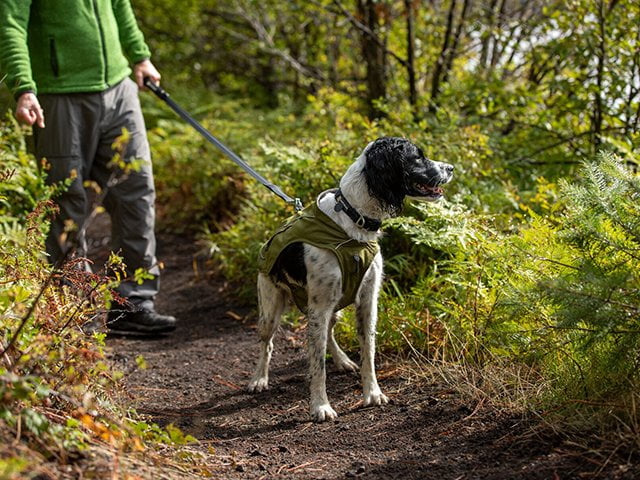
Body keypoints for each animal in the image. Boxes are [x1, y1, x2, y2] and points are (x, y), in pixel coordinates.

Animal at [248, 136, 454, 422]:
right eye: (418, 157)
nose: (452, 168)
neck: (353, 219)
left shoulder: (367, 300)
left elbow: (368, 351)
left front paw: (373, 393)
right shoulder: (320, 306)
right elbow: (317, 364)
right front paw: (321, 406)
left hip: (329, 308)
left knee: (328, 332)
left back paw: (342, 360)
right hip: (271, 307)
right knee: (266, 343)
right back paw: (259, 378)